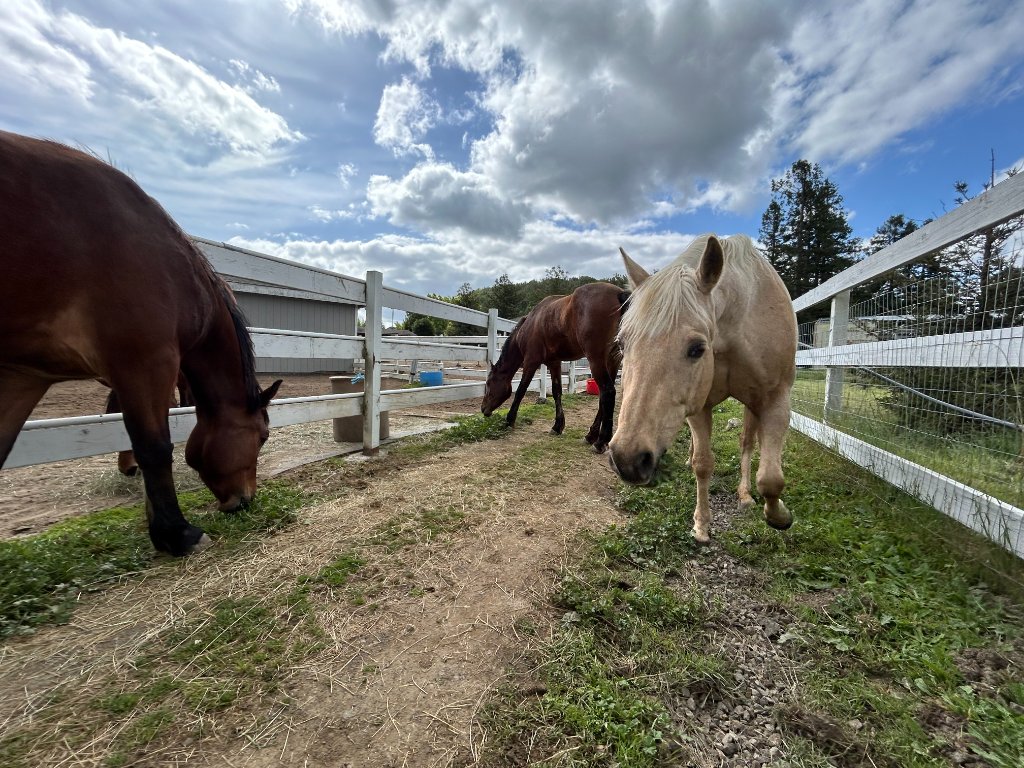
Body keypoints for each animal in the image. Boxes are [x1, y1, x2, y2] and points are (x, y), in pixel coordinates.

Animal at [0, 131, 281, 556]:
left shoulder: (24, 376)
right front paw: (177, 533)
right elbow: (155, 446)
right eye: (262, 437)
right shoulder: (147, 361)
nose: (244, 500)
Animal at [481, 282, 629, 453]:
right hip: (612, 360)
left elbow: (520, 391)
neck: (529, 325)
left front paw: (510, 420)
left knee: (608, 392)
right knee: (603, 398)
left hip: (596, 360)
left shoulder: (531, 362)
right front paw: (558, 426)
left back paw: (600, 441)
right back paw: (591, 436)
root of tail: (618, 294)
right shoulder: (554, 363)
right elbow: (557, 391)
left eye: (488, 384)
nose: (483, 409)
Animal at [608, 234, 797, 543]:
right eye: (622, 344)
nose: (627, 460)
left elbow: (770, 477)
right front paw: (701, 525)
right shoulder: (699, 405)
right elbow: (703, 463)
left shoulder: (775, 400)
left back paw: (744, 495)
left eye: (697, 348)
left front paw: (779, 515)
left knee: (747, 442)